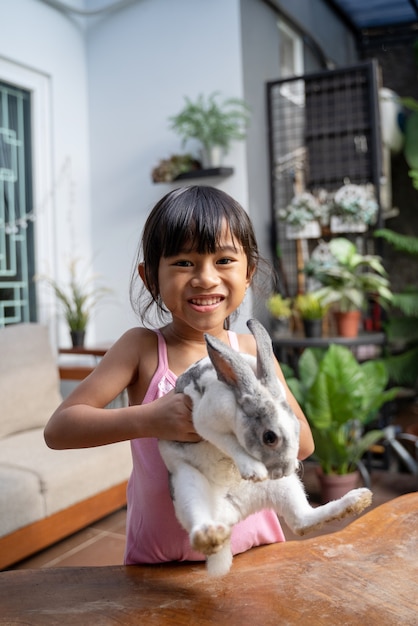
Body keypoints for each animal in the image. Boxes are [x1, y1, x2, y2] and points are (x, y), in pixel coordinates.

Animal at [158, 316, 372, 576]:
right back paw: (211, 535)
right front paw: (253, 471)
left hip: (284, 488)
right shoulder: (203, 421)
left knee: (302, 521)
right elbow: (230, 443)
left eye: (297, 429)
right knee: (198, 525)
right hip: (187, 484)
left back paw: (357, 499)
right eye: (270, 437)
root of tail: (230, 514)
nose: (286, 470)